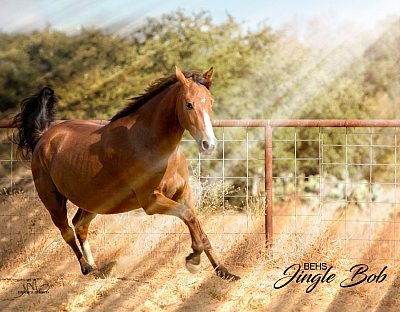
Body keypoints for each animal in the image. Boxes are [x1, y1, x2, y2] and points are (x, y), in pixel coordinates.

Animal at [11, 66, 238, 280]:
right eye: (188, 104)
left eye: (210, 101)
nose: (209, 144)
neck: (150, 144)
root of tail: (43, 136)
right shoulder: (151, 202)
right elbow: (188, 217)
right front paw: (193, 259)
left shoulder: (183, 192)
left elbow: (198, 226)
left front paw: (224, 272)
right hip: (54, 202)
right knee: (66, 231)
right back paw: (86, 268)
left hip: (96, 202)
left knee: (79, 225)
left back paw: (96, 268)